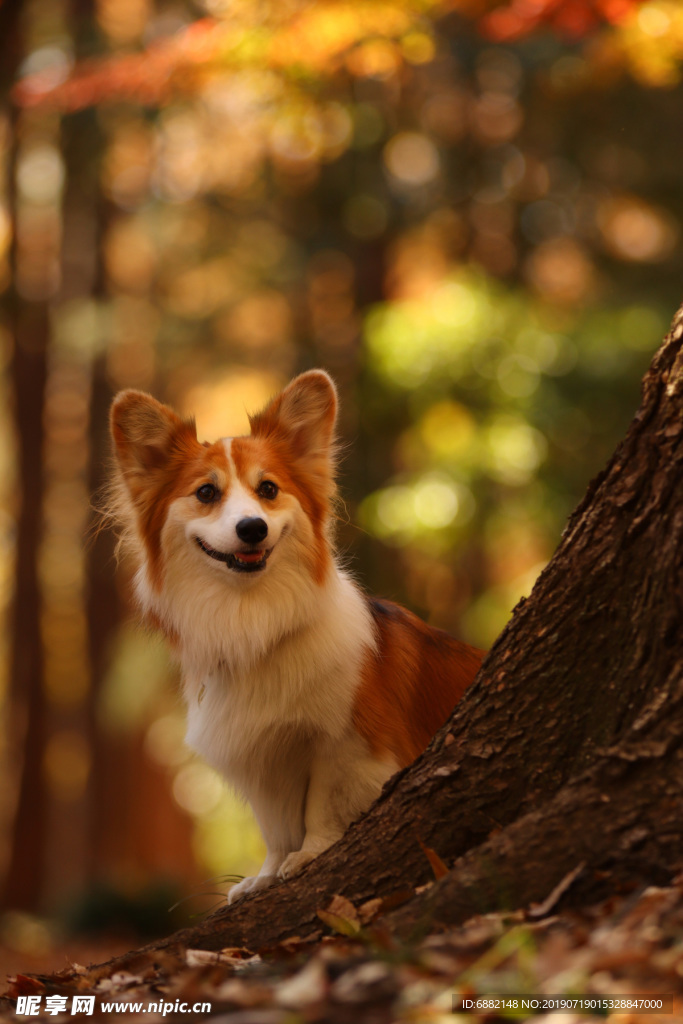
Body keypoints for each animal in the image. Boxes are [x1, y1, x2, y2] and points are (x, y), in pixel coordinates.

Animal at [109, 372, 483, 901]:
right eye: (206, 493)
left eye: (268, 489)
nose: (252, 528)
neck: (253, 618)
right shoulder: (262, 757)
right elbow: (276, 826)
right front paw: (265, 875)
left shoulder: (348, 742)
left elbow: (323, 803)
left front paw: (310, 855)